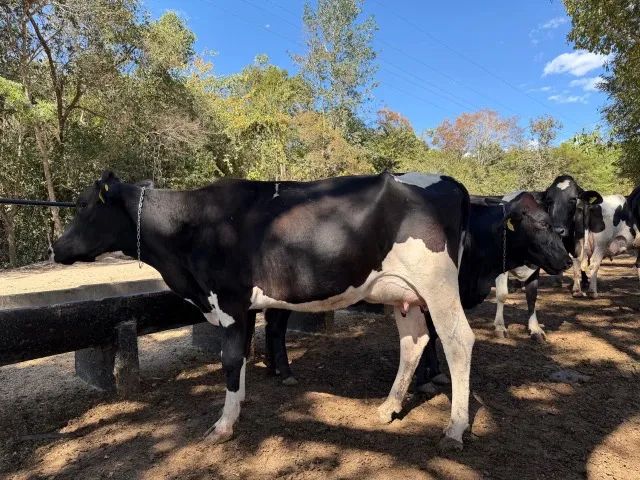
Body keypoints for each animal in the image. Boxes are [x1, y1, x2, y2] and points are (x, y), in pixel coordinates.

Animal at [53, 170, 477, 451]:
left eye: (85, 206)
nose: (56, 247)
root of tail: (450, 182)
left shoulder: (228, 300)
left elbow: (228, 359)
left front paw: (224, 424)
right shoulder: (243, 306)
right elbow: (240, 357)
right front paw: (239, 403)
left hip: (437, 284)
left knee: (458, 341)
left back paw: (455, 429)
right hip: (402, 293)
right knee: (414, 341)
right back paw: (388, 408)